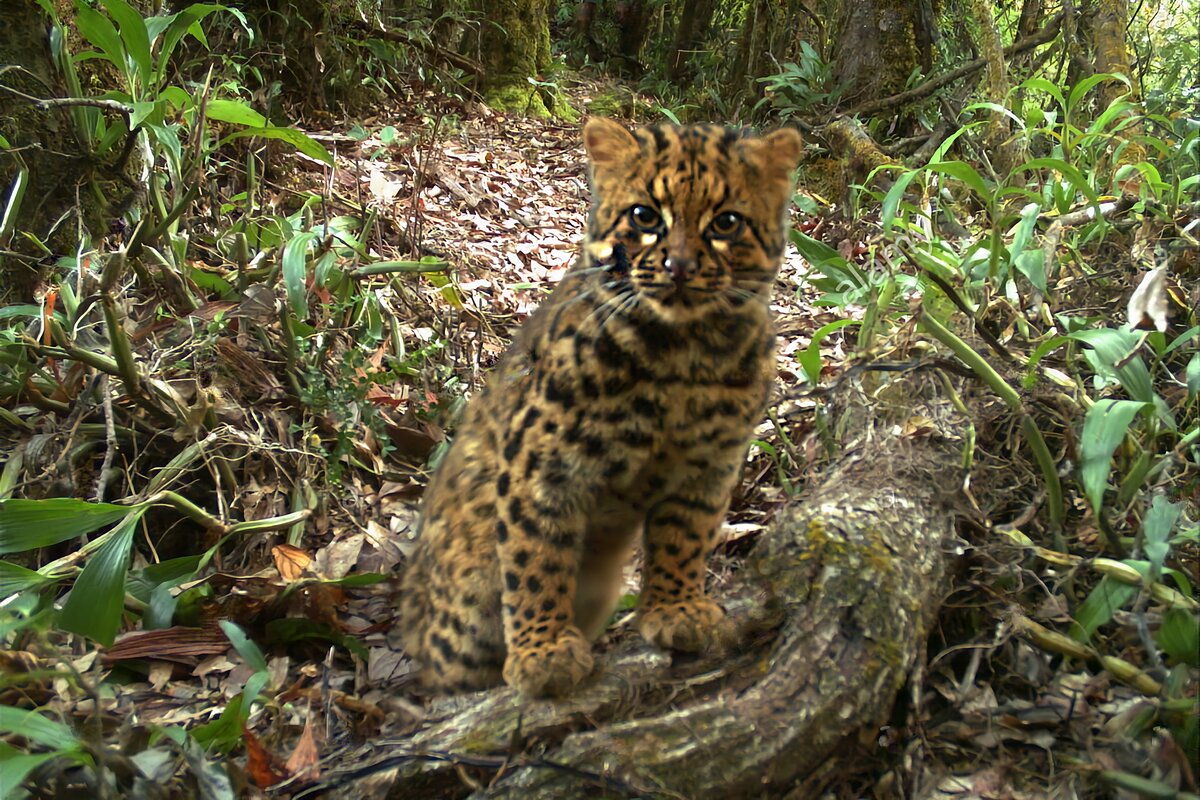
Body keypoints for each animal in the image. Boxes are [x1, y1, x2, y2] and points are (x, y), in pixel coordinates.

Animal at [398, 115, 801, 695]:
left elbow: (684, 539)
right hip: (464, 613)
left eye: (727, 223)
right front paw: (542, 653)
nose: (680, 267)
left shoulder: (709, 466)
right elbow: (537, 561)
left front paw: (678, 610)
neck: (683, 357)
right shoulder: (543, 468)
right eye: (644, 216)